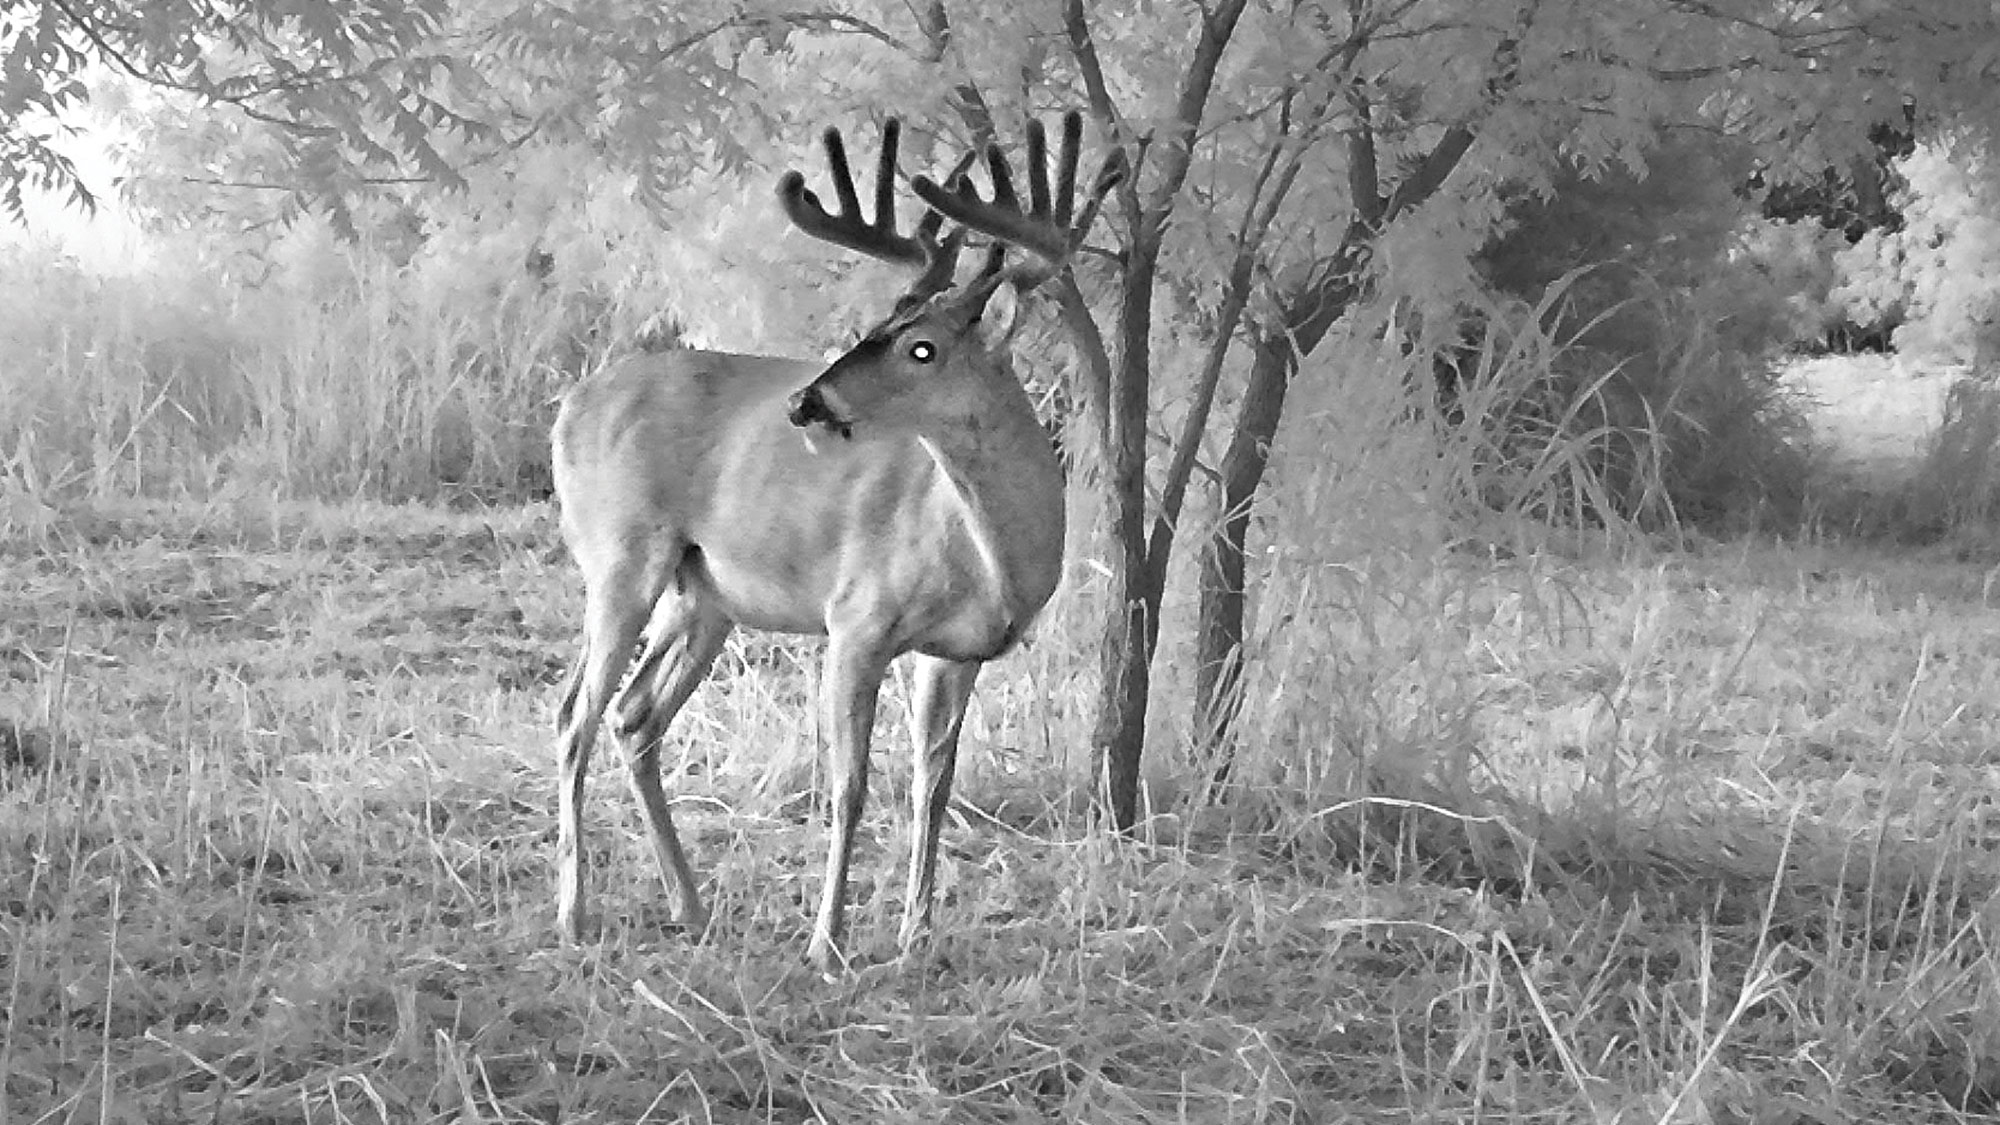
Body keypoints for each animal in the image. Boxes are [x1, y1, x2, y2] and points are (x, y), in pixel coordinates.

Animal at [548, 111, 1128, 964]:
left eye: (921, 345)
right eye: (876, 324)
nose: (806, 403)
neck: (987, 553)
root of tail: (569, 405)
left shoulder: (956, 650)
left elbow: (932, 783)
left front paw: (918, 933)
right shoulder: (857, 619)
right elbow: (850, 784)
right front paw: (829, 943)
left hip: (702, 596)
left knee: (634, 716)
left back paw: (691, 905)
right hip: (620, 556)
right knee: (574, 717)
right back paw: (575, 914)